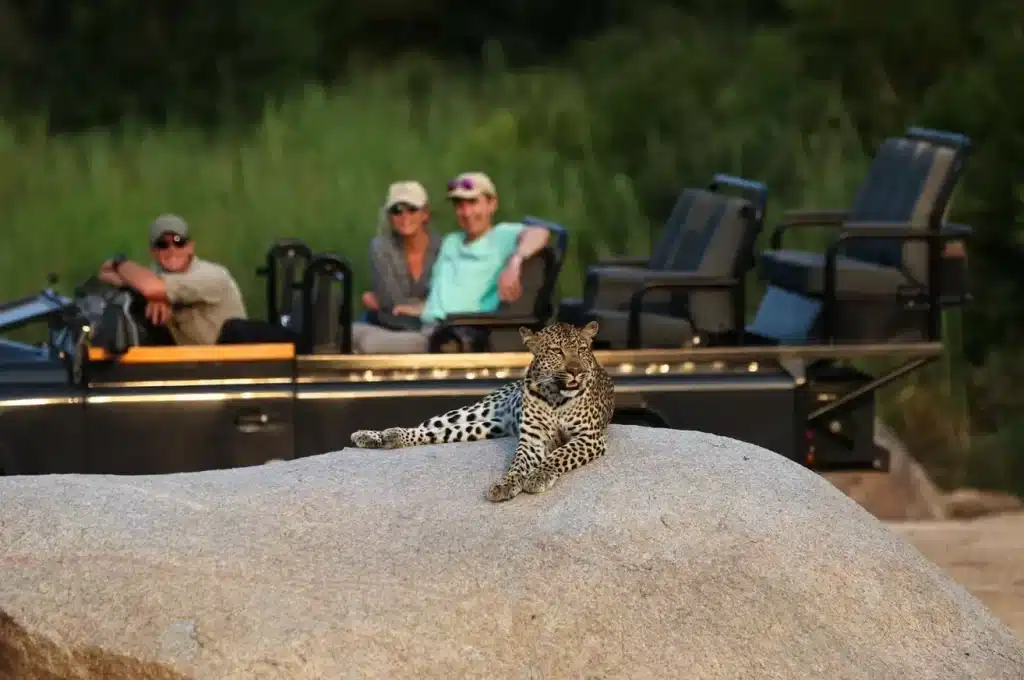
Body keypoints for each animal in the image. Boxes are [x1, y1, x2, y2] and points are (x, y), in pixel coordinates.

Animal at [350, 320, 615, 502]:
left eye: (582, 350)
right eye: (556, 351)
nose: (576, 371)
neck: (555, 397)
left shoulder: (589, 438)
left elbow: (559, 455)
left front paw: (538, 476)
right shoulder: (532, 439)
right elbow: (518, 463)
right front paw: (506, 484)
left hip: (487, 427)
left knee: (441, 433)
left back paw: (387, 438)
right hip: (475, 412)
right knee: (428, 427)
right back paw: (373, 435)